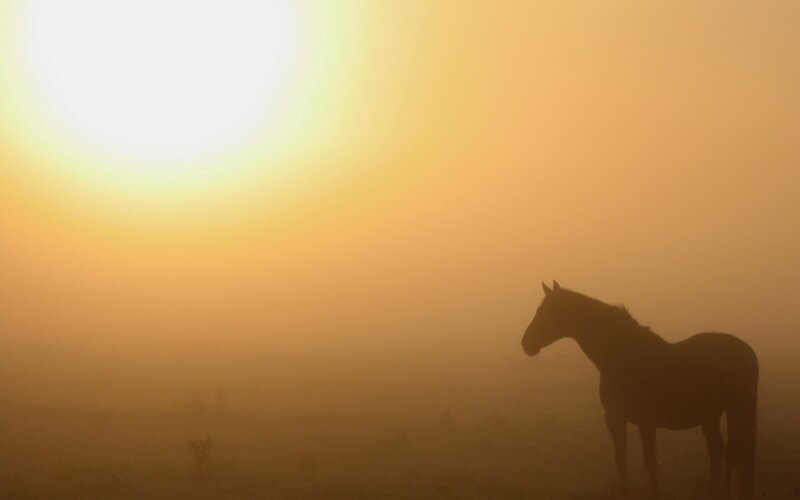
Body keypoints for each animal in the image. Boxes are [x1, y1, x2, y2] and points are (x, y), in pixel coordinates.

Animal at [521, 282, 758, 499]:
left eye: (546, 312)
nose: (526, 343)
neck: (625, 357)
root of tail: (747, 350)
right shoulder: (615, 419)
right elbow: (620, 459)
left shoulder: (646, 422)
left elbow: (649, 461)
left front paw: (655, 493)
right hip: (710, 415)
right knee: (718, 449)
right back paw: (710, 490)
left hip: (736, 410)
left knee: (732, 451)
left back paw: (724, 491)